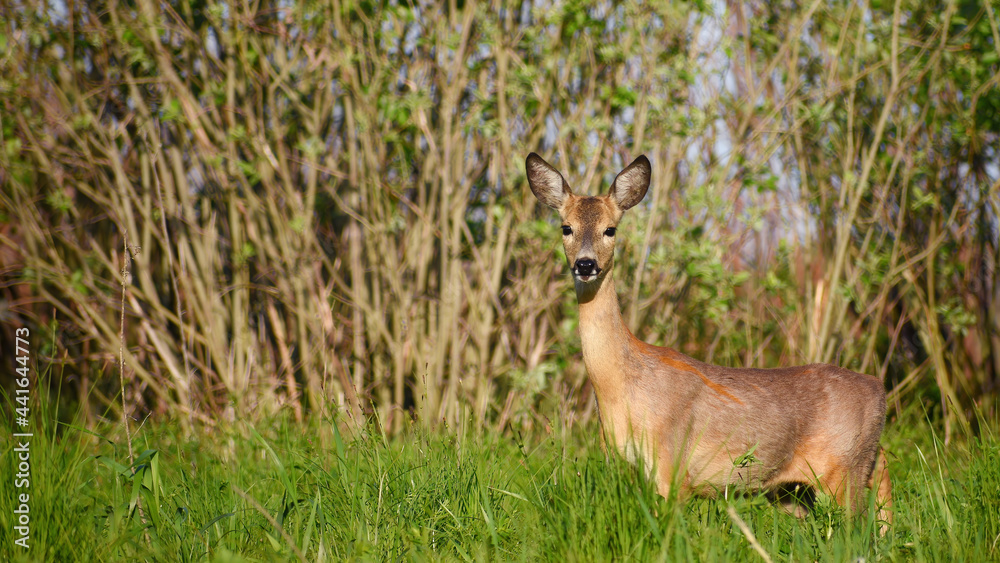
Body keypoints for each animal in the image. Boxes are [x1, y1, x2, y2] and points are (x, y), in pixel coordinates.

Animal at [528, 153, 896, 528]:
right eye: (566, 227)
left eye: (610, 229)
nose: (585, 264)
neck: (620, 388)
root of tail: (878, 387)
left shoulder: (672, 463)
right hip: (795, 489)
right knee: (879, 472)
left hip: (842, 466)